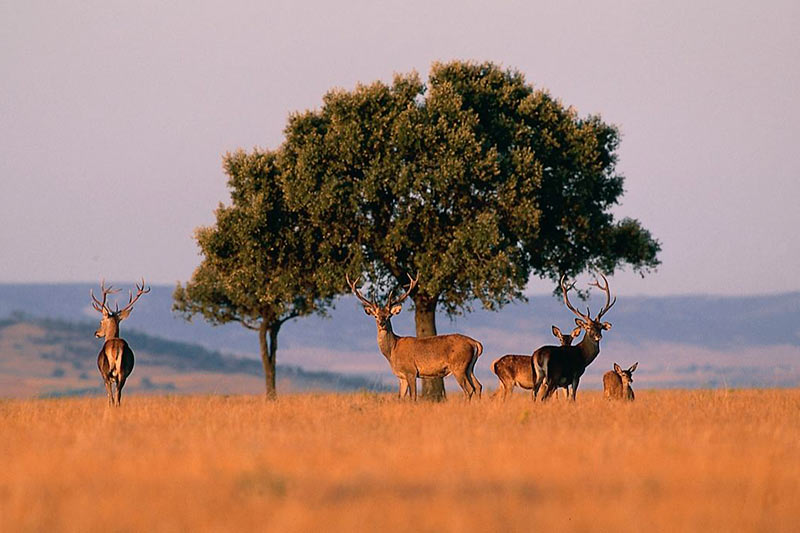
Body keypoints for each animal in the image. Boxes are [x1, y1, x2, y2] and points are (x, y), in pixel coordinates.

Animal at [90, 276, 150, 406]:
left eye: (101, 321)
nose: (96, 333)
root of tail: (115, 347)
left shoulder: (104, 375)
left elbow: (109, 396)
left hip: (107, 373)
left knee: (112, 396)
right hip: (123, 373)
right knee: (118, 396)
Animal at [348, 272, 484, 402]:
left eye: (389, 316)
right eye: (375, 316)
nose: (382, 323)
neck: (392, 351)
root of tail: (475, 343)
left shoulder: (411, 371)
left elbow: (413, 397)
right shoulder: (401, 376)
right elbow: (400, 397)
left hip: (459, 366)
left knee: (469, 389)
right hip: (469, 367)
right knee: (478, 386)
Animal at [532, 272, 620, 402]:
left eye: (600, 327)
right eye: (588, 327)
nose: (598, 336)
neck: (583, 356)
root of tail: (538, 356)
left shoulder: (564, 383)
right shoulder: (576, 375)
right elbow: (573, 398)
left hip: (538, 378)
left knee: (533, 396)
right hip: (553, 377)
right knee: (543, 398)